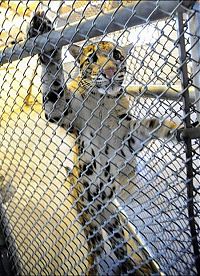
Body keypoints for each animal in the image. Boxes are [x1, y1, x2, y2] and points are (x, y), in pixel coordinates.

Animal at [27, 11, 177, 274]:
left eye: (117, 55)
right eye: (92, 58)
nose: (109, 71)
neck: (103, 103)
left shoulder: (126, 139)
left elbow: (147, 125)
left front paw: (172, 126)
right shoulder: (60, 110)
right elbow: (53, 78)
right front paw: (42, 32)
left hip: (113, 221)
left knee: (119, 246)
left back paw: (126, 266)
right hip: (90, 221)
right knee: (95, 251)